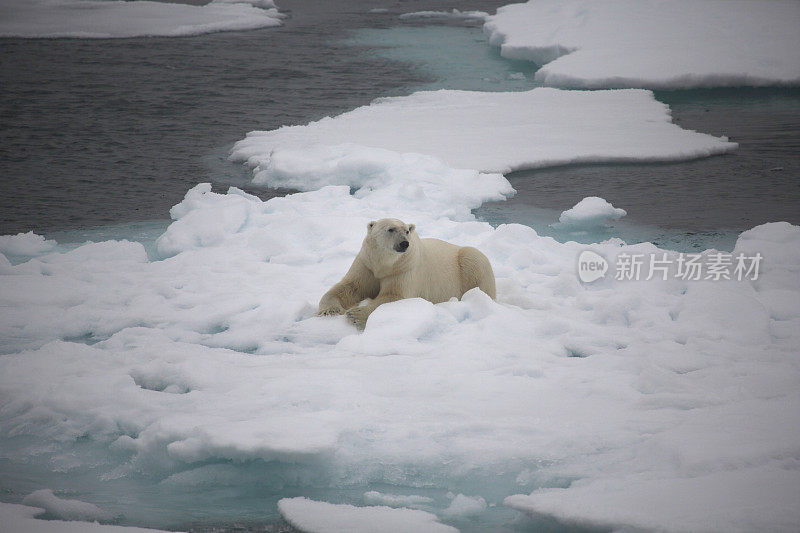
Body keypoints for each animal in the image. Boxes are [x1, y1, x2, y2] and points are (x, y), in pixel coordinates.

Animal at [318, 217, 494, 328]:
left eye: (407, 231)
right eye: (390, 229)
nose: (404, 243)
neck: (384, 265)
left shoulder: (404, 268)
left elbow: (394, 295)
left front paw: (356, 315)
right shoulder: (367, 264)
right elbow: (350, 287)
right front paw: (330, 310)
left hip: (468, 260)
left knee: (474, 260)